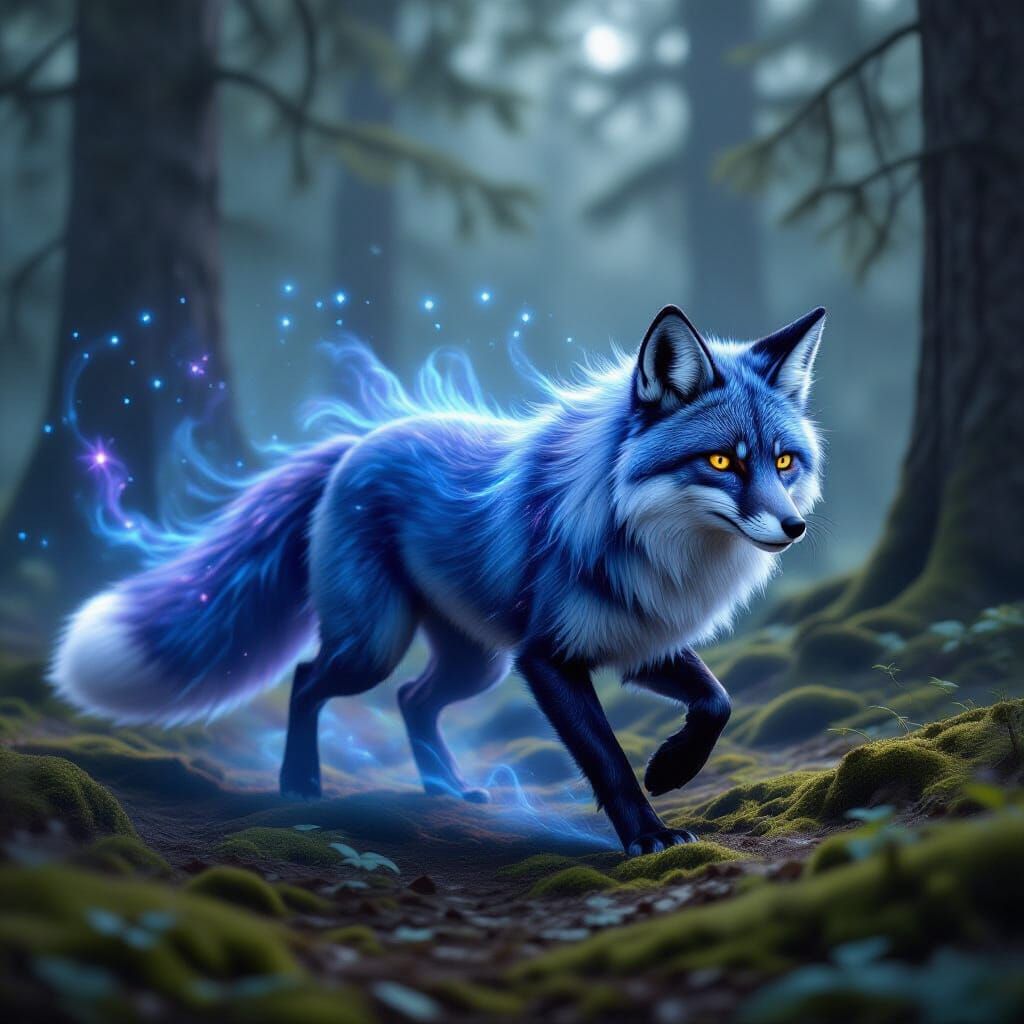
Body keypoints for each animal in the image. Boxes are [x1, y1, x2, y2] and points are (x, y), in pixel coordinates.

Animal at [52, 303, 826, 855]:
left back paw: (445, 788)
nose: (794, 529)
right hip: (378, 645)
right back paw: (300, 783)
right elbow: (606, 758)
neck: (648, 546)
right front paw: (648, 832)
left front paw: (672, 768)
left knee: (413, 699)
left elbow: (718, 701)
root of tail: (357, 443)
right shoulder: (547, 658)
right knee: (310, 678)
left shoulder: (642, 642)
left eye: (784, 462)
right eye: (722, 462)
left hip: (474, 663)